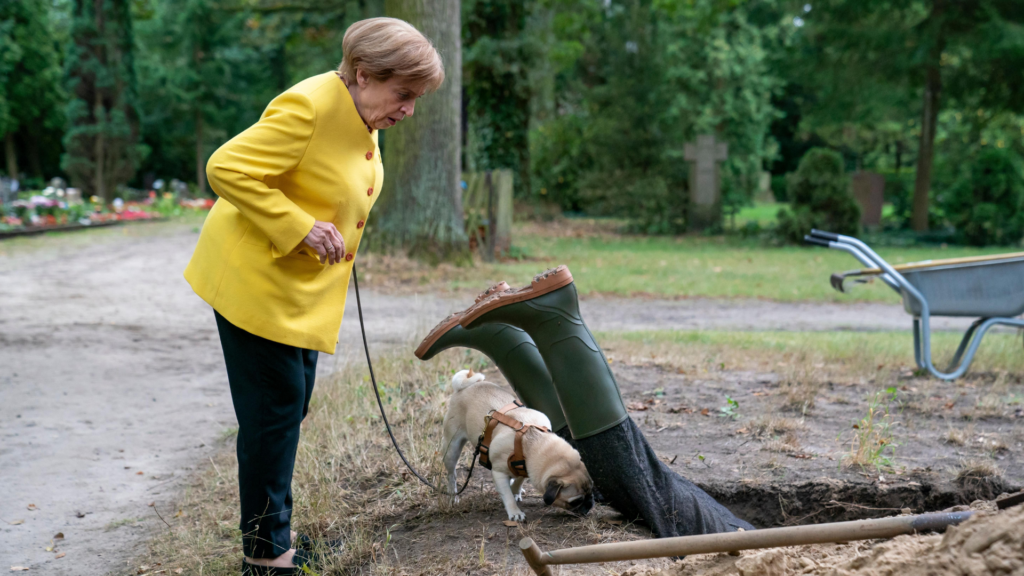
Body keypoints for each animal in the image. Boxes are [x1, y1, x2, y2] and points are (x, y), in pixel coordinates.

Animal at [440, 366, 593, 520]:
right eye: (576, 501)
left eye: (591, 492)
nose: (590, 505)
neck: (532, 440)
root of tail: (469, 385)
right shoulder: (499, 473)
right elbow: (507, 495)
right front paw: (515, 512)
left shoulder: (525, 467)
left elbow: (519, 479)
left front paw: (516, 490)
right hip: (452, 449)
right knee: (452, 475)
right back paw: (453, 496)